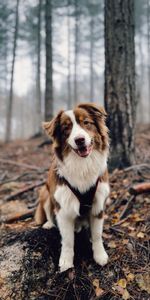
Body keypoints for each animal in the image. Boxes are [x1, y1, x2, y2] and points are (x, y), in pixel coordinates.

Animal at [35, 102, 110, 272]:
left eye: (86, 122)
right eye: (66, 128)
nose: (80, 140)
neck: (82, 165)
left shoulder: (98, 204)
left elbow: (97, 235)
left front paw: (99, 255)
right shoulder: (63, 208)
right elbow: (68, 241)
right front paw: (66, 261)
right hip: (46, 193)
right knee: (48, 212)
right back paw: (48, 224)